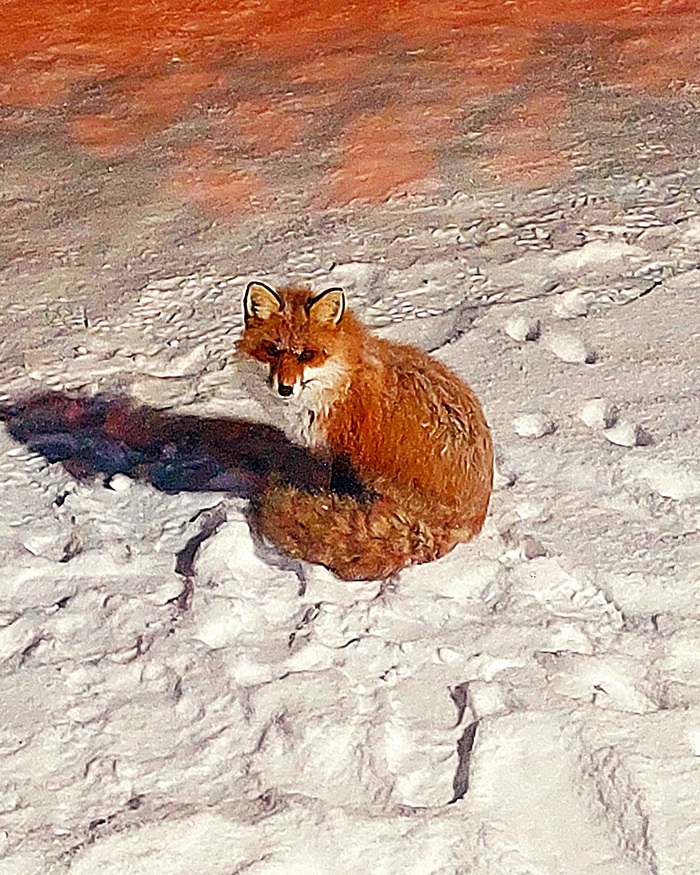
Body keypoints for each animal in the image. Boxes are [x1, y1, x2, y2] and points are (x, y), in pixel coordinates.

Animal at [238, 281, 493, 581]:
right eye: (273, 350)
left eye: (307, 355)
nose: (285, 388)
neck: (341, 382)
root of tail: (467, 523)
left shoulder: (345, 454)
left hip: (374, 477)